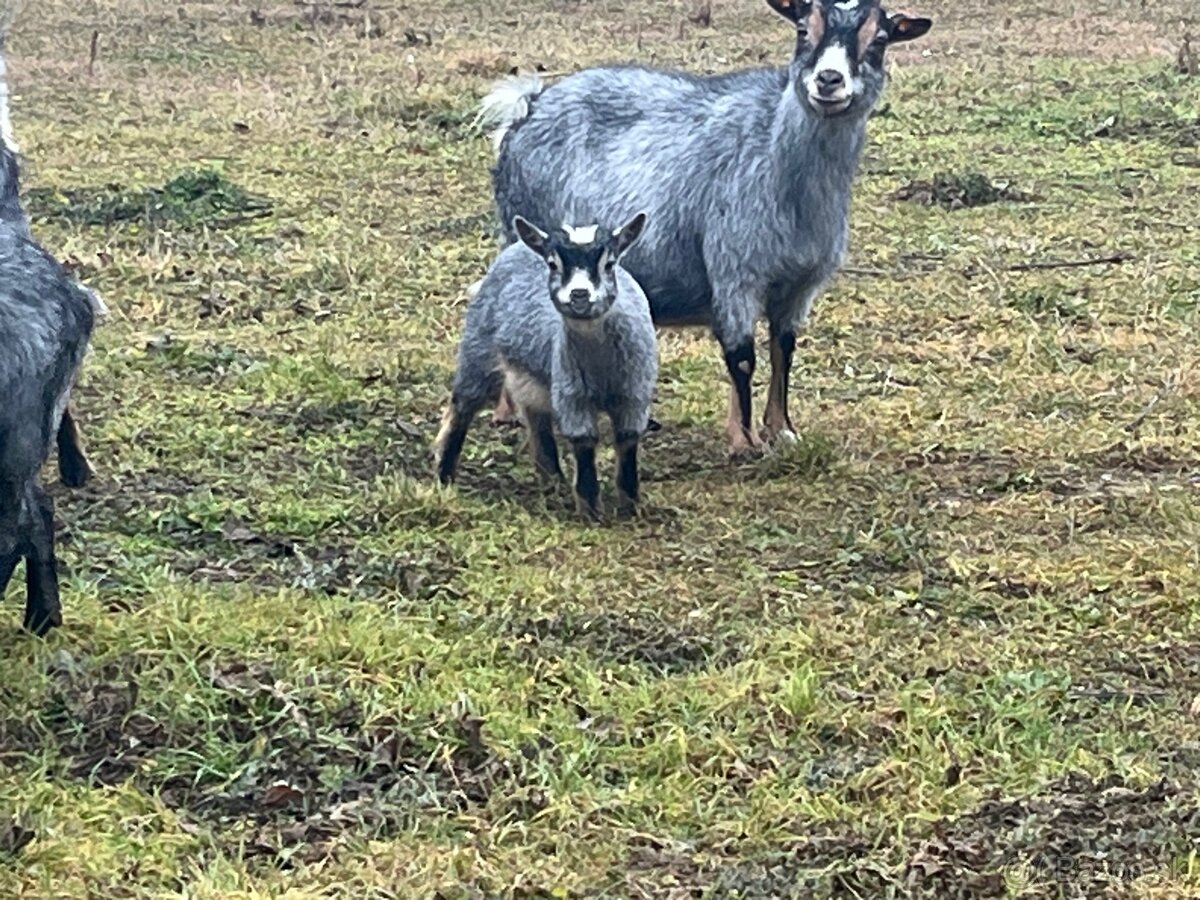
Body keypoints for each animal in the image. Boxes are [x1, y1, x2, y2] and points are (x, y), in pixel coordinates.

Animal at [482, 1, 931, 458]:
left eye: (879, 40)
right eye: (804, 30)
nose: (828, 79)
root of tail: (526, 108)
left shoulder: (798, 286)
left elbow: (783, 350)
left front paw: (781, 429)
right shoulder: (735, 271)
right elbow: (742, 357)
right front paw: (745, 441)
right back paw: (511, 411)